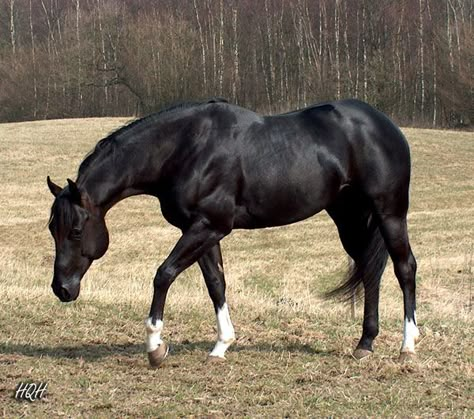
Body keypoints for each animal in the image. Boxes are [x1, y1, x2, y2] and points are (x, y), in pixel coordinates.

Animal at [47, 98, 418, 368]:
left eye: (76, 231)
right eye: (52, 229)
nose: (61, 289)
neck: (186, 149)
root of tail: (385, 125)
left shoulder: (209, 226)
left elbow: (163, 274)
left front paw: (155, 347)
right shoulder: (202, 230)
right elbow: (216, 284)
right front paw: (221, 346)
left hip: (389, 213)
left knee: (405, 268)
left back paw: (408, 346)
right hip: (349, 218)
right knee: (370, 272)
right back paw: (365, 343)